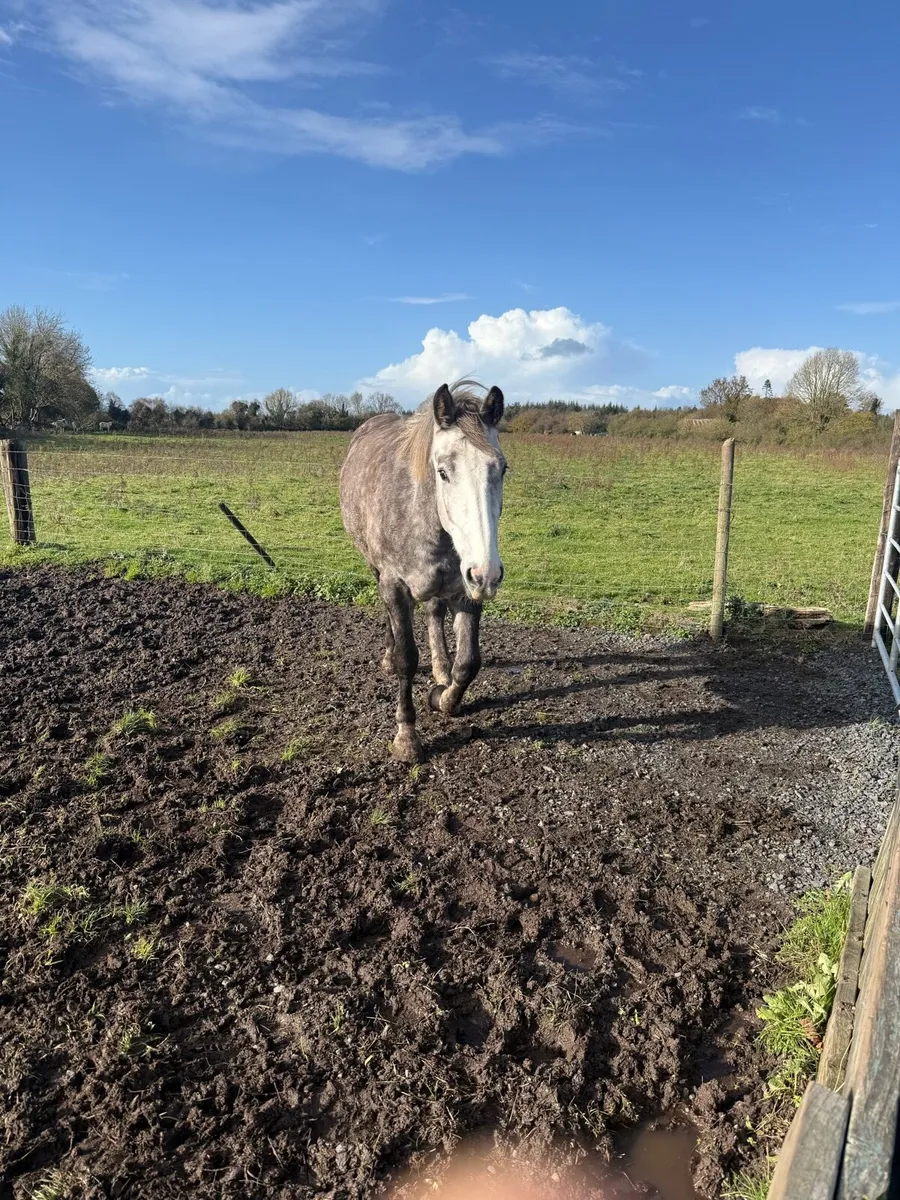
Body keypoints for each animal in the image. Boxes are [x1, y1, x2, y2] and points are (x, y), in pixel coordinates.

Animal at [340, 380, 507, 763]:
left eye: (502, 469)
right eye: (443, 471)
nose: (487, 573)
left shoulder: (466, 590)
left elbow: (469, 662)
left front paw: (443, 697)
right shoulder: (396, 587)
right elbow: (407, 659)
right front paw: (406, 738)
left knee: (434, 613)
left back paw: (441, 669)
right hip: (376, 570)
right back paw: (389, 656)